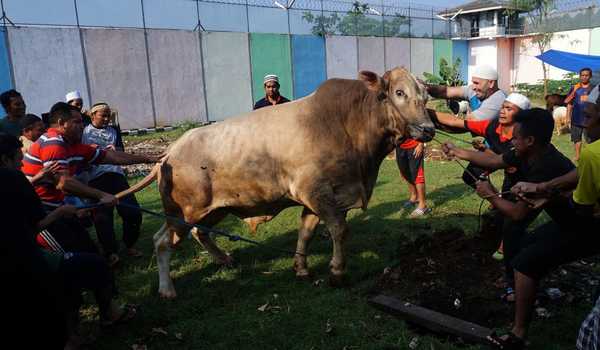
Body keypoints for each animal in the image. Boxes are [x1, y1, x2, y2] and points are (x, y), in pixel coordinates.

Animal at [118, 67, 436, 296]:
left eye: (425, 96)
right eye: (398, 92)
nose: (429, 129)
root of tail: (170, 151)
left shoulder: (317, 200)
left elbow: (306, 233)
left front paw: (302, 269)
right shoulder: (319, 194)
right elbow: (339, 231)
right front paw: (336, 272)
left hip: (212, 209)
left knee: (199, 233)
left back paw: (224, 259)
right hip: (185, 211)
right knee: (162, 242)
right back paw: (167, 290)